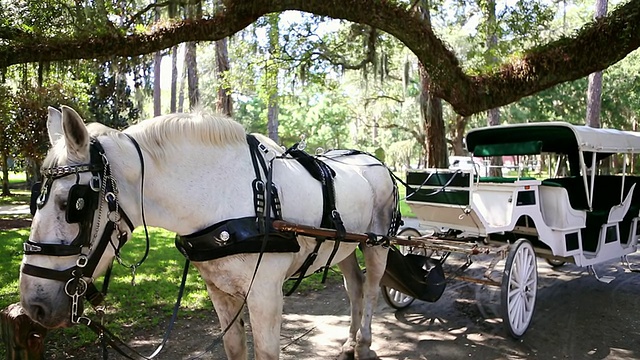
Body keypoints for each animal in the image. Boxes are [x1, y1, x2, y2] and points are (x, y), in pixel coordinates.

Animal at [20, 106, 398, 360]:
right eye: (35, 197)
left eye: (74, 203)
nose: (32, 306)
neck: (224, 195)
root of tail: (375, 161)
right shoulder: (218, 289)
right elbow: (233, 347)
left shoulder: (265, 294)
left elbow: (265, 352)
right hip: (343, 248)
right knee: (355, 287)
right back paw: (348, 343)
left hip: (377, 244)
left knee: (372, 288)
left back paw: (364, 343)